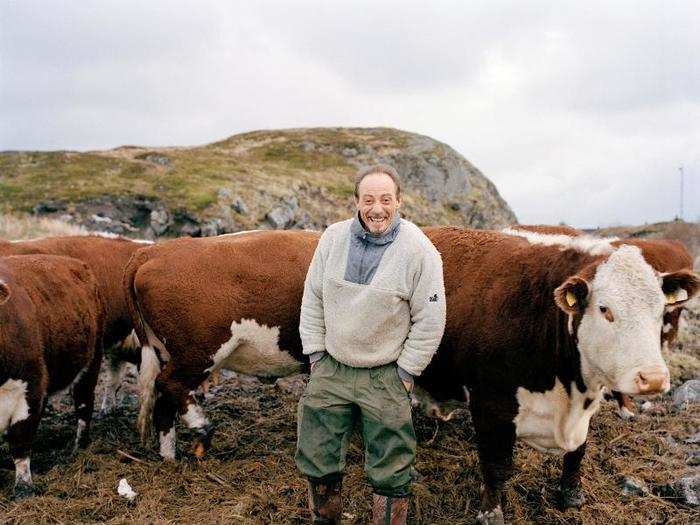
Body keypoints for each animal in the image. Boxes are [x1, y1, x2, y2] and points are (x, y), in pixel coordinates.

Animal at [0, 255, 104, 500]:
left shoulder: (29, 386)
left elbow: (20, 441)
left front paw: (24, 487)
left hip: (91, 360)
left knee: (84, 404)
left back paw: (78, 447)